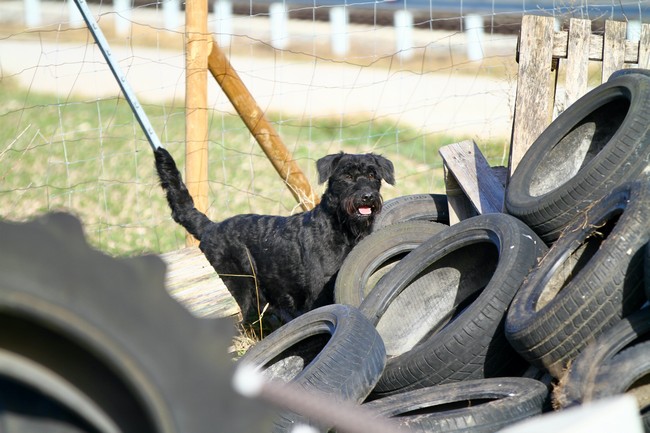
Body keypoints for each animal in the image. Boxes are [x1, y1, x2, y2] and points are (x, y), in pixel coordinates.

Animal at [154, 147, 395, 328]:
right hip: (236, 290)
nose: (367, 196)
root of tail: (210, 228)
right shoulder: (318, 294)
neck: (342, 228)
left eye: (373, 175)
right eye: (347, 176)